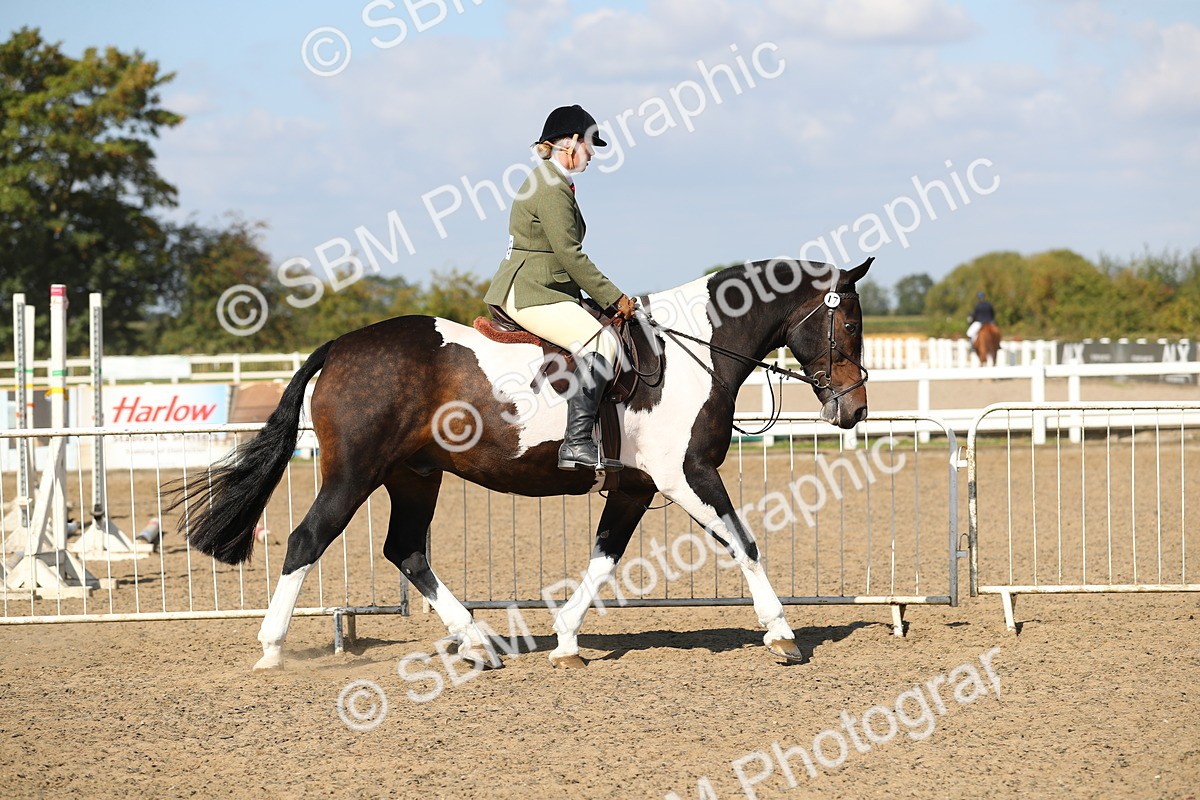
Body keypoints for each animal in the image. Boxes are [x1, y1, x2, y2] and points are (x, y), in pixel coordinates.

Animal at [165, 256, 873, 671]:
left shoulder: (636, 486)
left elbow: (606, 556)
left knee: (407, 551)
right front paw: (782, 635)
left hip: (414, 476)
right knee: (308, 539)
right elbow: (744, 542)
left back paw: (477, 642)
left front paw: (565, 640)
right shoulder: (686, 476)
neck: (693, 350)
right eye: (849, 326)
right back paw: (271, 650)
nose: (855, 410)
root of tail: (340, 345)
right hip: (354, 475)